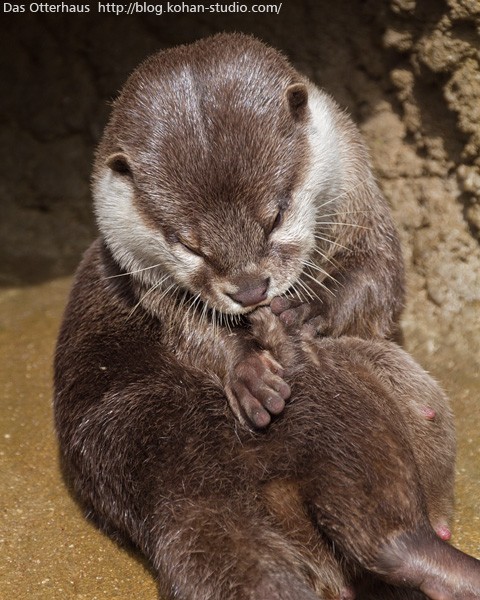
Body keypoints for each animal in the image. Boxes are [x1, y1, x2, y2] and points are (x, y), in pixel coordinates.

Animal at [53, 34, 480, 600]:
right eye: (188, 244)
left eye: (275, 216)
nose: (251, 289)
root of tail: (186, 489)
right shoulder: (141, 271)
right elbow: (190, 328)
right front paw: (249, 368)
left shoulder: (358, 194)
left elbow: (379, 278)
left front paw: (305, 309)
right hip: (332, 419)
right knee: (391, 537)